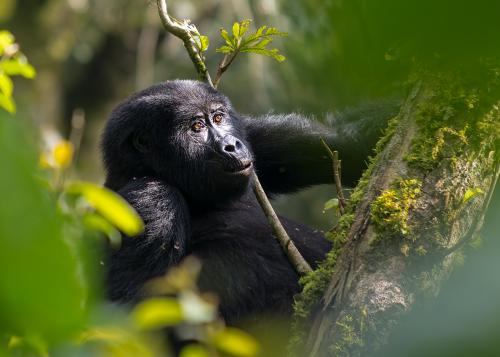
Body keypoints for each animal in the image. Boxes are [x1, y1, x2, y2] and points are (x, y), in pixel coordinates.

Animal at [99, 80, 392, 322]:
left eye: (218, 118)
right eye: (197, 127)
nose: (231, 145)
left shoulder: (251, 135)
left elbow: (340, 141)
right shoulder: (150, 200)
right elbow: (128, 311)